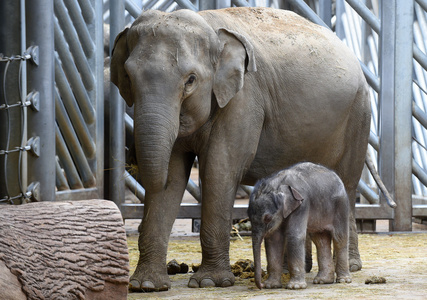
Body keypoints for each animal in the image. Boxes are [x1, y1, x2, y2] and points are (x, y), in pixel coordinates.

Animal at [111, 7, 372, 292]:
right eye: (128, 77)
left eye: (190, 80)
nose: (130, 157)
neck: (211, 28)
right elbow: (174, 174)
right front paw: (146, 285)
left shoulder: (244, 99)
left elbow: (219, 169)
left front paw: (210, 282)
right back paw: (299, 269)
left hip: (359, 114)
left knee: (347, 183)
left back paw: (350, 267)